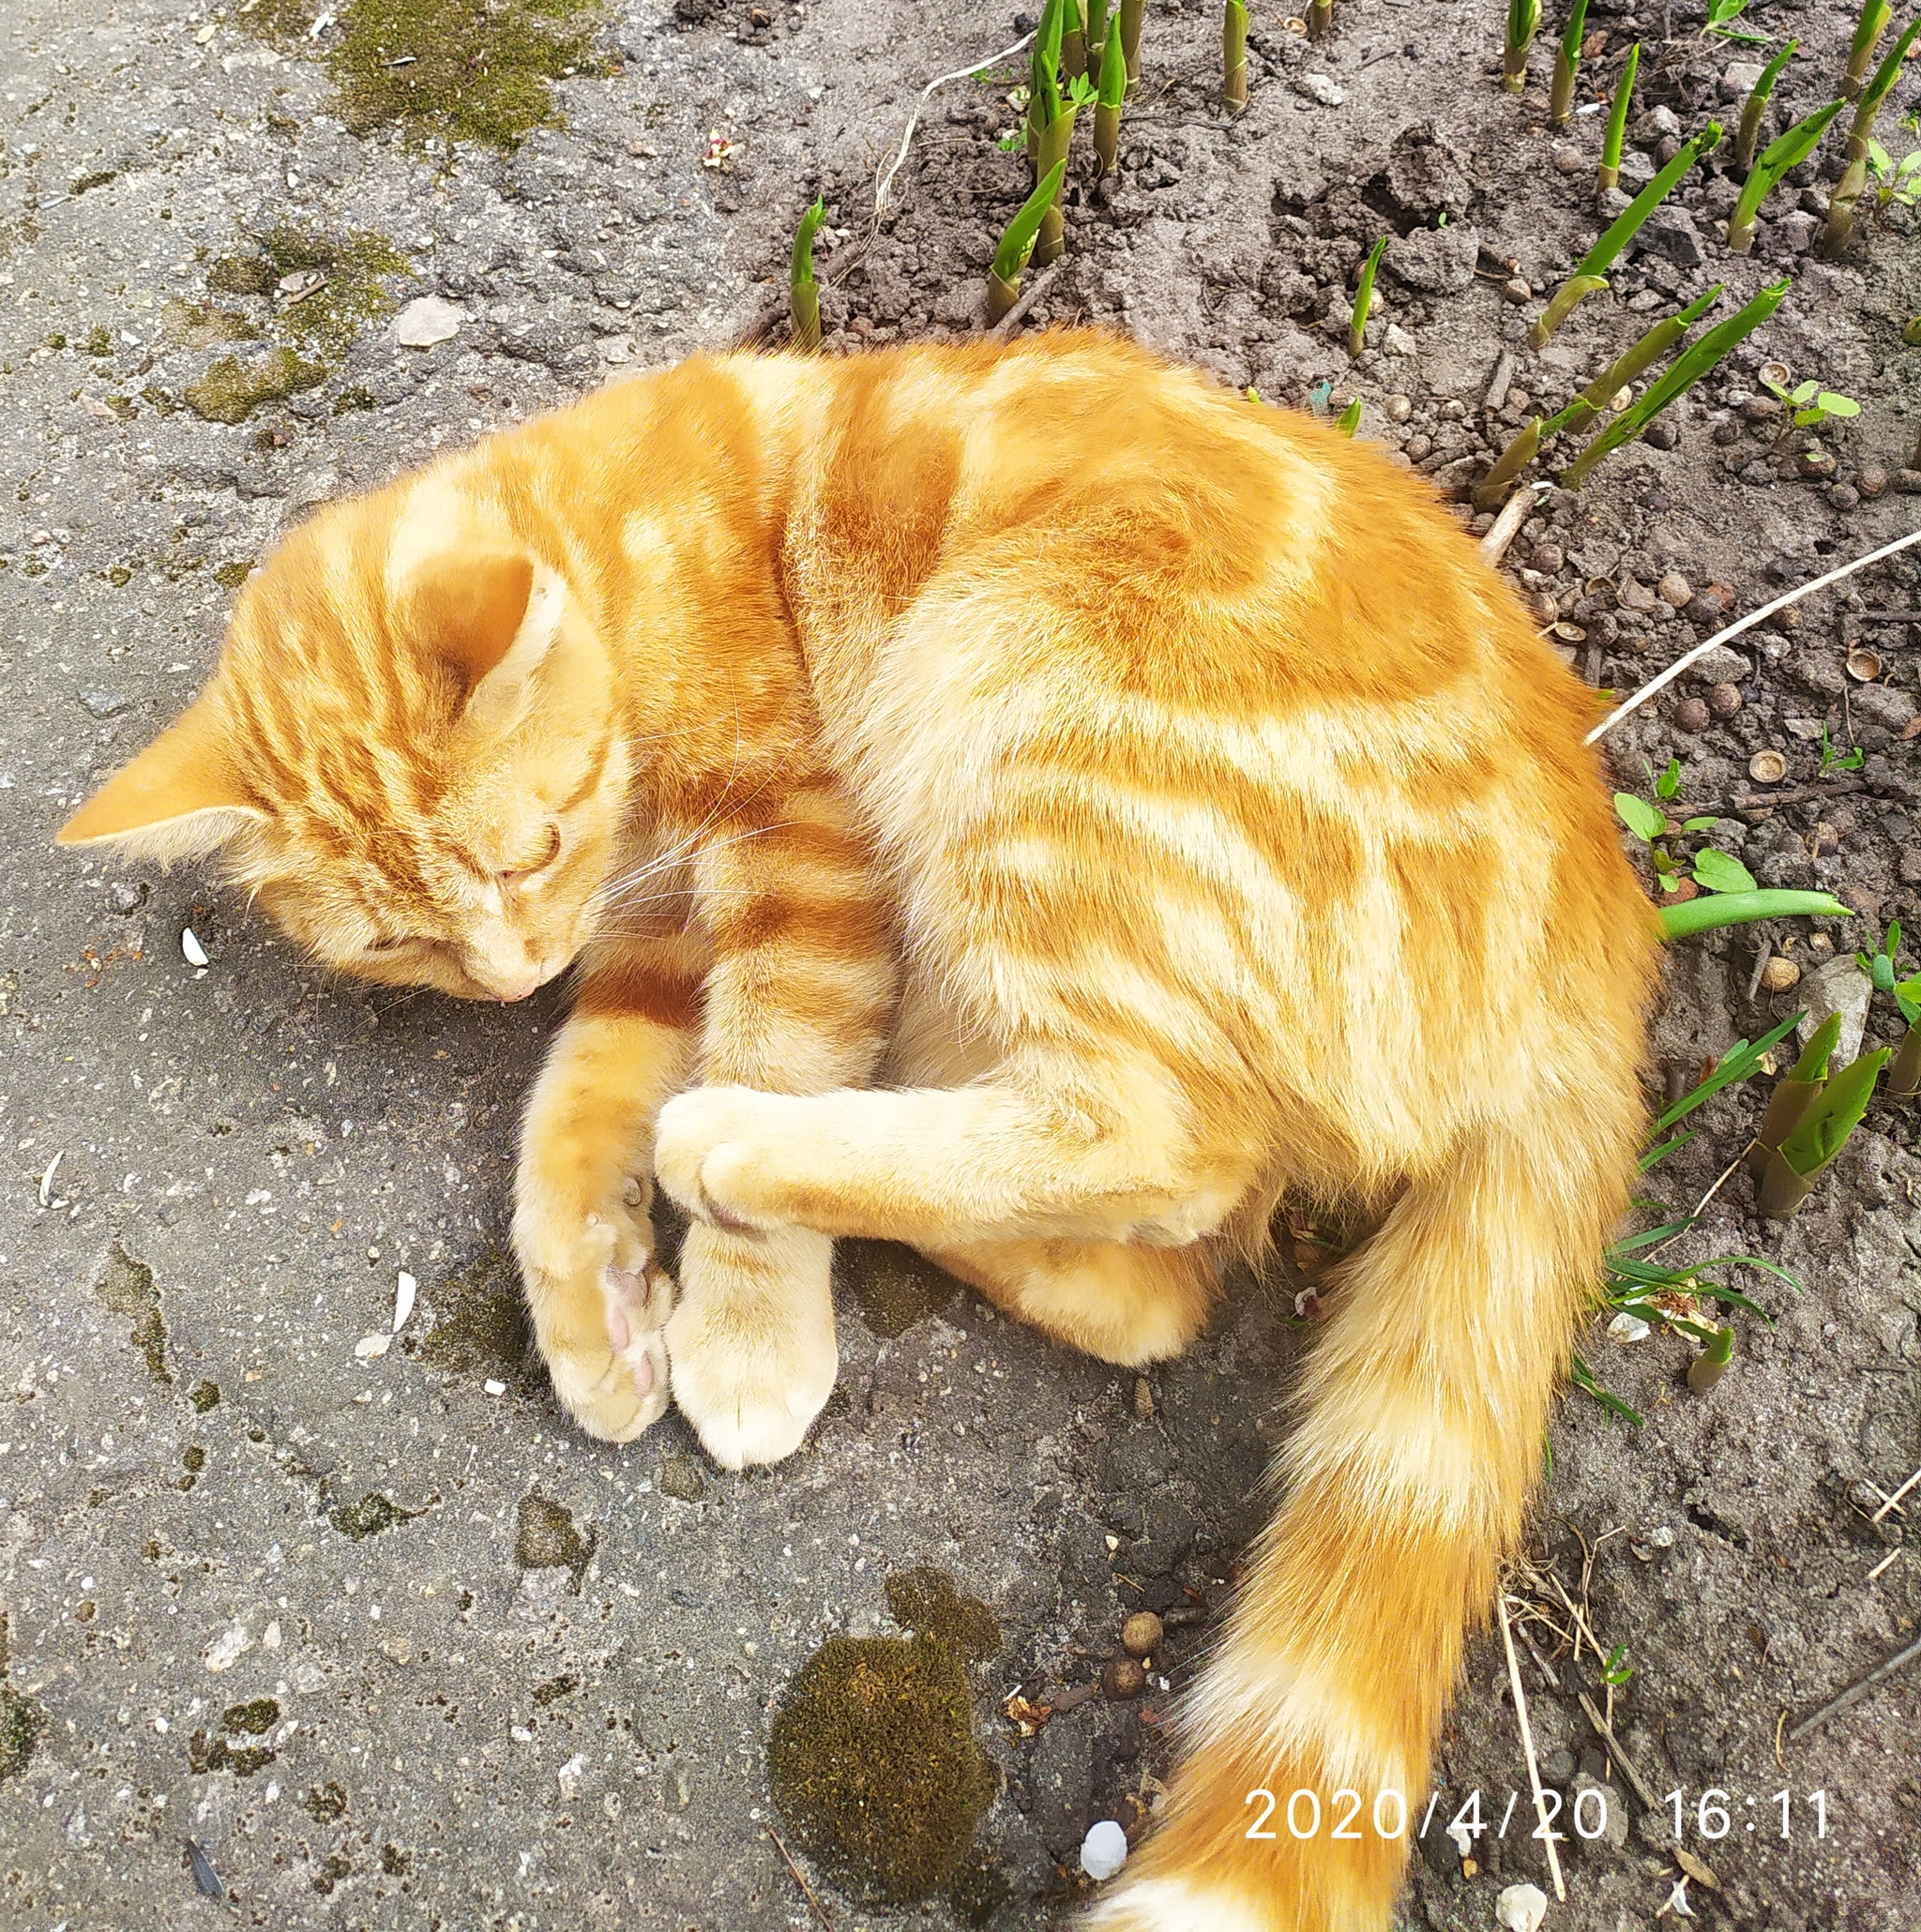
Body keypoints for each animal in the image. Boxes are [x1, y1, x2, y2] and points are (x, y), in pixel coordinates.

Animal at [55, 336, 1646, 1932]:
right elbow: (569, 1121)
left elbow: (767, 1045)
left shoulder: (803, 862)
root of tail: (1608, 925)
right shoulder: (642, 947)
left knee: (1162, 1149)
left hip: (1016, 705)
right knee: (1161, 1288)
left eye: (525, 853)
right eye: (400, 942)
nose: (507, 975)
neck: (619, 562)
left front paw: (741, 1327)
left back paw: (751, 1144)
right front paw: (597, 1303)